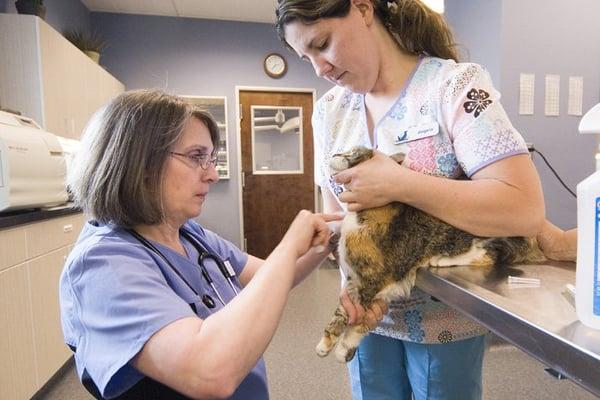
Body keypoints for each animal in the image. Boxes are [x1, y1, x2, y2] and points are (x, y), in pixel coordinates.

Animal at [318, 146, 544, 362]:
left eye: (352, 152)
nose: (335, 154)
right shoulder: (366, 283)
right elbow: (354, 319)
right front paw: (340, 349)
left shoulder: (371, 279)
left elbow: (347, 314)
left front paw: (329, 345)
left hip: (479, 235)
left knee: (487, 255)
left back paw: (440, 260)